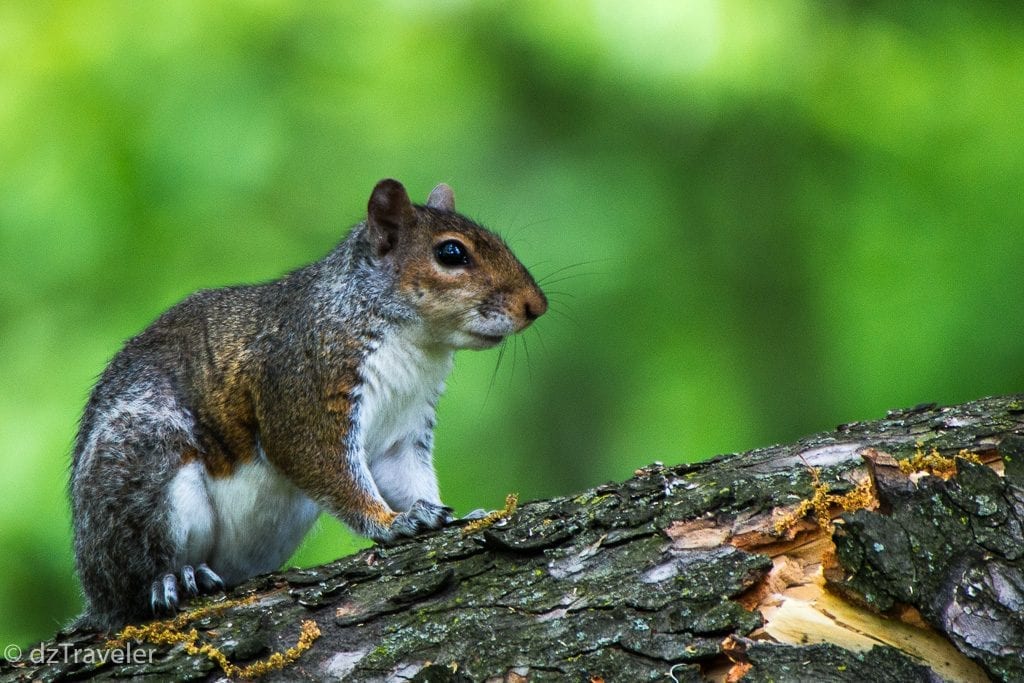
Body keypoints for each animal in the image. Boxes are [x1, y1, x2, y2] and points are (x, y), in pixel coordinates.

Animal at [68, 179, 548, 626]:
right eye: (451, 253)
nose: (536, 306)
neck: (416, 342)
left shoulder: (405, 426)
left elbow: (406, 475)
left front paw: (449, 515)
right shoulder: (305, 384)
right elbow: (314, 458)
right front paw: (391, 522)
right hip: (142, 466)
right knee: (133, 579)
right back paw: (172, 578)